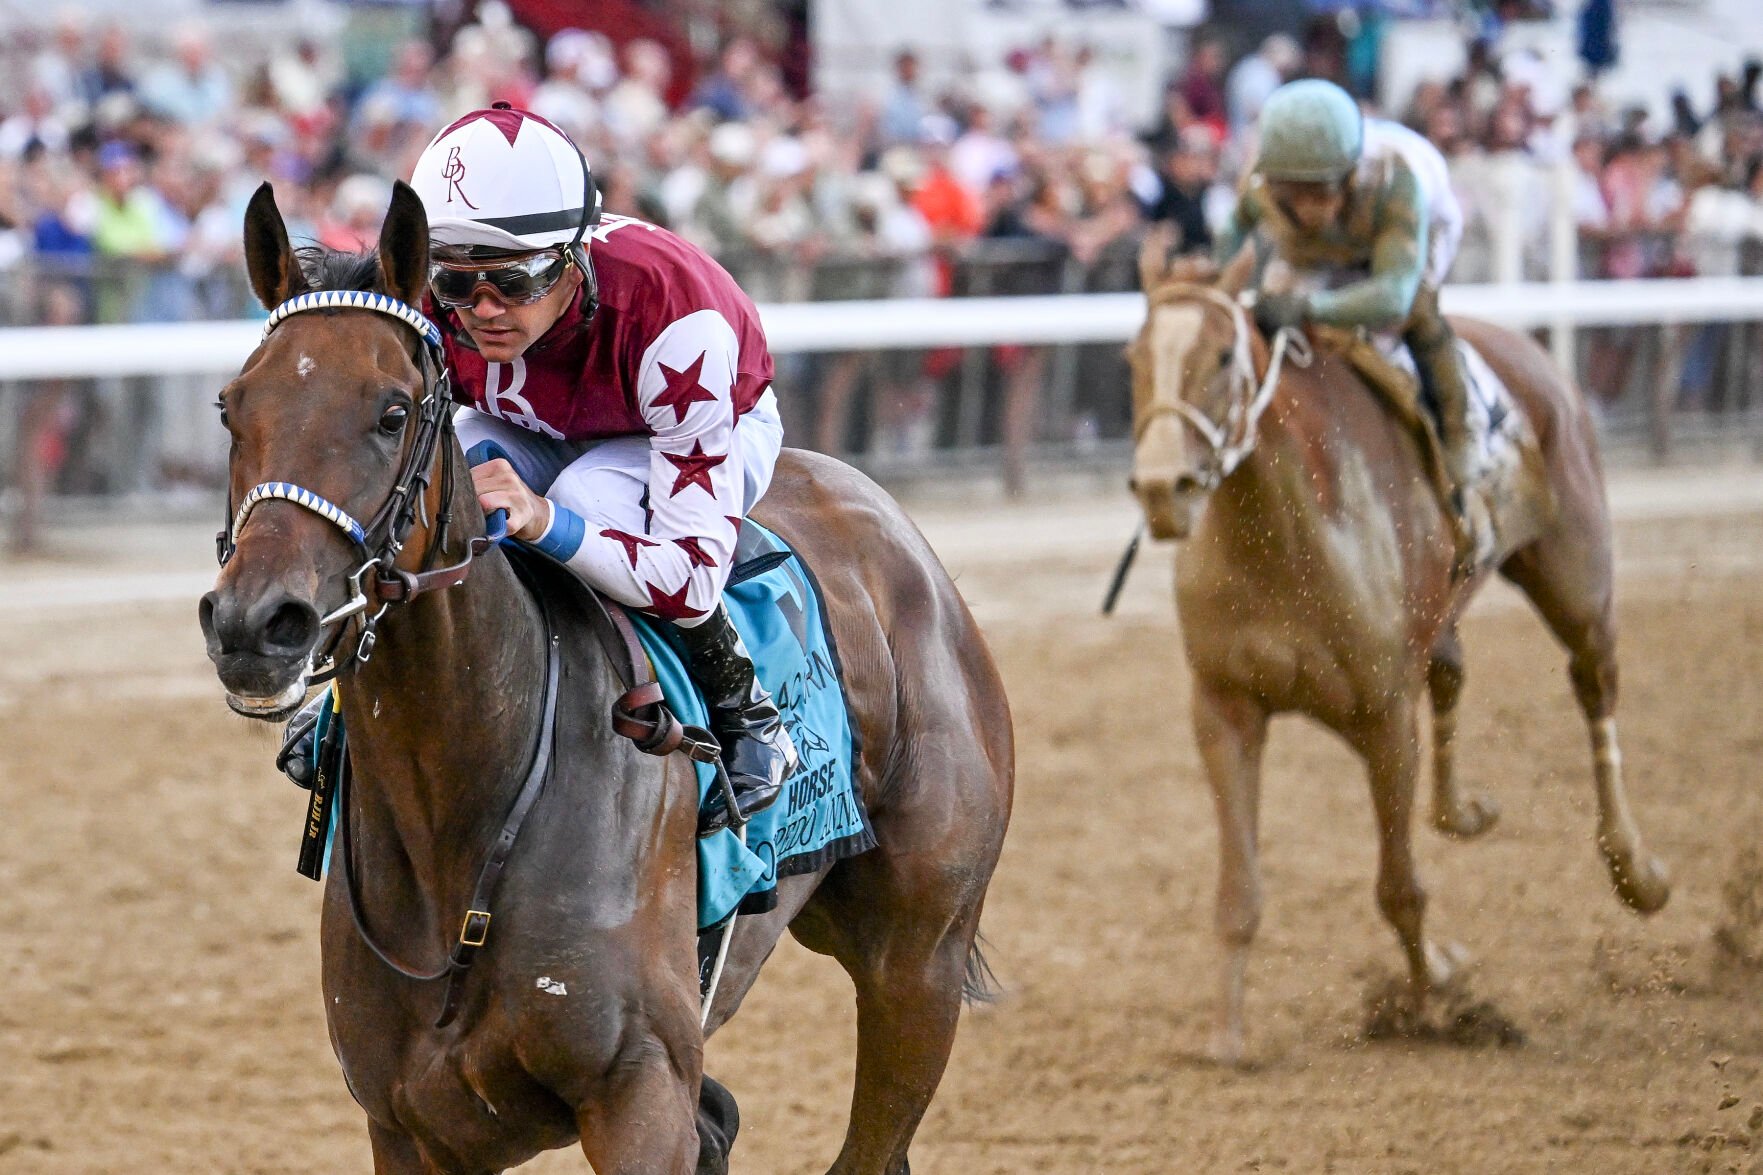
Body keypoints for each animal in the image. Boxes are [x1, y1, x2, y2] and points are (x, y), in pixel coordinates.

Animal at [198, 178, 1015, 1164]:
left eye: (392, 412)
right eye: (232, 407)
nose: (254, 624)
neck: (461, 810)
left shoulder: (640, 1091)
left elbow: (682, 560)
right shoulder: (407, 1124)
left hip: (916, 966)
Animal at [1128, 238, 1664, 1058]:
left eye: (1221, 354)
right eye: (1132, 356)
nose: (1164, 489)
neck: (1281, 541)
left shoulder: (1383, 717)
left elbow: (1399, 888)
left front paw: (1430, 1000)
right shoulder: (1224, 707)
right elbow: (1238, 890)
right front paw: (1225, 1036)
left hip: (1577, 579)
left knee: (1593, 683)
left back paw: (1635, 867)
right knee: (1452, 676)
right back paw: (1465, 810)